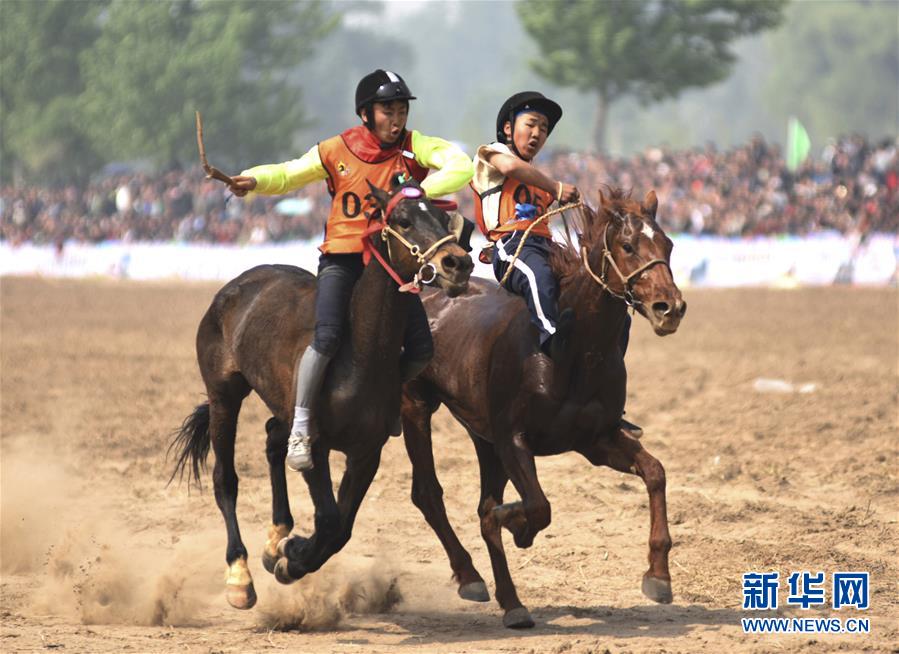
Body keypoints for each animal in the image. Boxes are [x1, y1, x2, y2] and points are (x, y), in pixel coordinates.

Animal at [171, 179, 474, 608]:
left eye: (443, 217)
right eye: (403, 220)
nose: (457, 264)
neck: (361, 352)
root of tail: (236, 286)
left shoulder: (366, 452)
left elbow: (341, 527)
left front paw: (288, 552)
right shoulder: (316, 445)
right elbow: (329, 520)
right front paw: (293, 557)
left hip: (280, 406)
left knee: (272, 437)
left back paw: (276, 536)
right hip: (223, 394)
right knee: (224, 478)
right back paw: (239, 575)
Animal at [398, 188, 684, 632]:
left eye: (668, 245)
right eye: (627, 246)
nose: (668, 307)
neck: (572, 346)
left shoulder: (596, 440)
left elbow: (655, 472)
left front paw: (658, 575)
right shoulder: (514, 439)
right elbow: (536, 507)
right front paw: (518, 526)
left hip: (483, 438)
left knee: (482, 506)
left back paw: (512, 602)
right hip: (417, 406)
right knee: (428, 493)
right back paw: (470, 576)